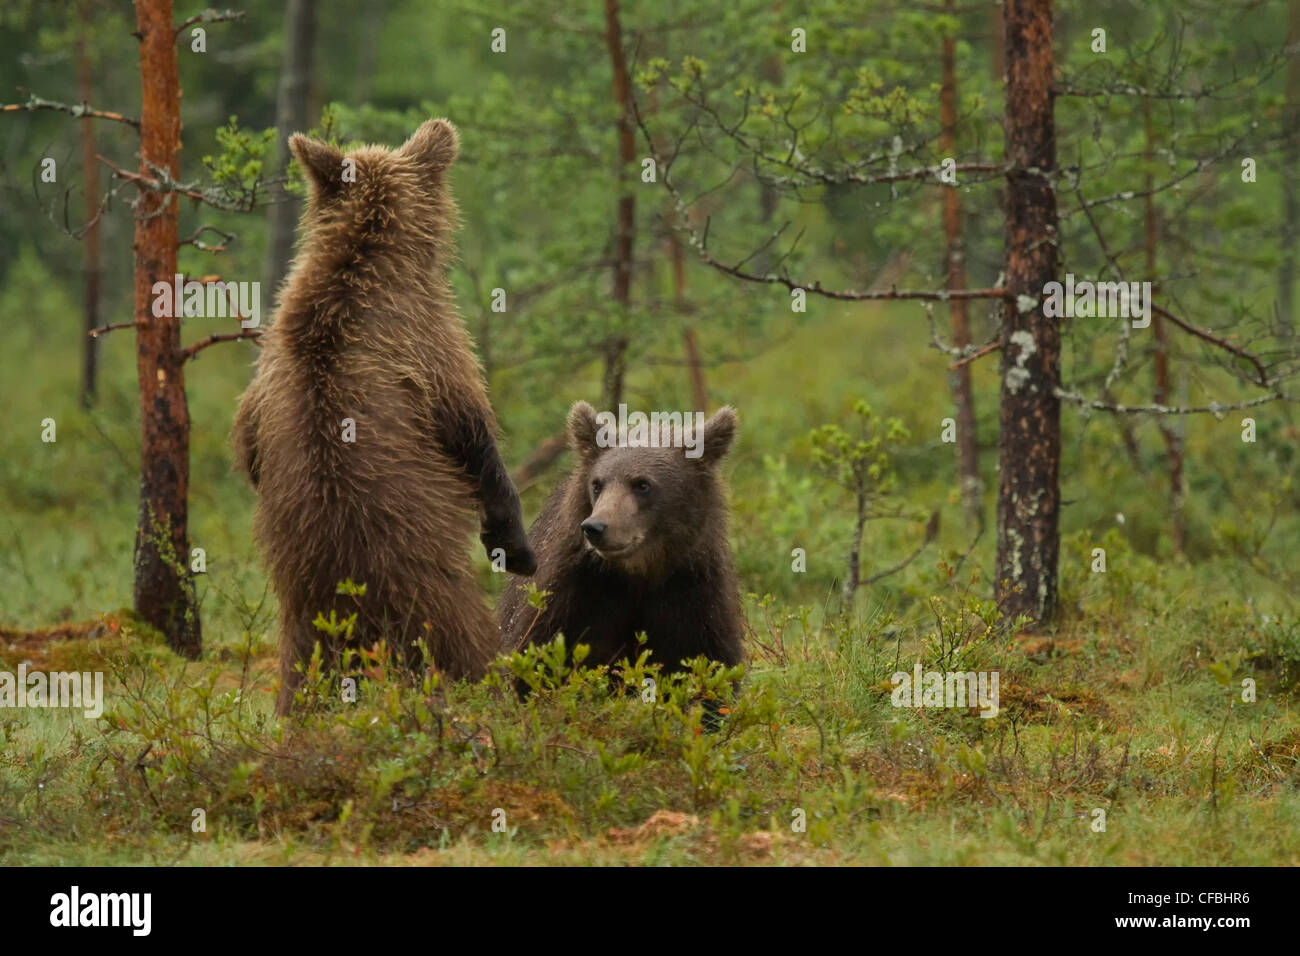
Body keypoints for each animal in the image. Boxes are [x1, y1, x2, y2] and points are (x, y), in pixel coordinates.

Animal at [233, 119, 533, 712]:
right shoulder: (430, 340)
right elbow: (472, 432)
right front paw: (512, 537)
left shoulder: (269, 360)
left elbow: (248, 442)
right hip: (431, 588)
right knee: (465, 645)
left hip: (300, 624)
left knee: (299, 675)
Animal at [496, 400, 743, 686]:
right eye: (597, 484)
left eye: (642, 484)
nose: (595, 527)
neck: (638, 574)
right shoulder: (572, 596)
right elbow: (535, 660)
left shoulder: (694, 594)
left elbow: (709, 665)